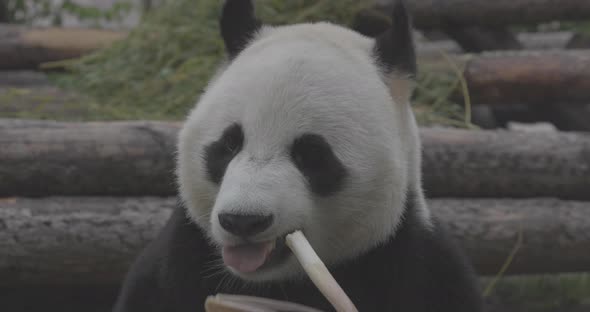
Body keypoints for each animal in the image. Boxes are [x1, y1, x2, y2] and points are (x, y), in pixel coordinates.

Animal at [112, 1, 486, 310]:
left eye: (311, 155)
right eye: (229, 145)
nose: (243, 220)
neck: (272, 284)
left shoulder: (419, 270)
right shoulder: (175, 268)